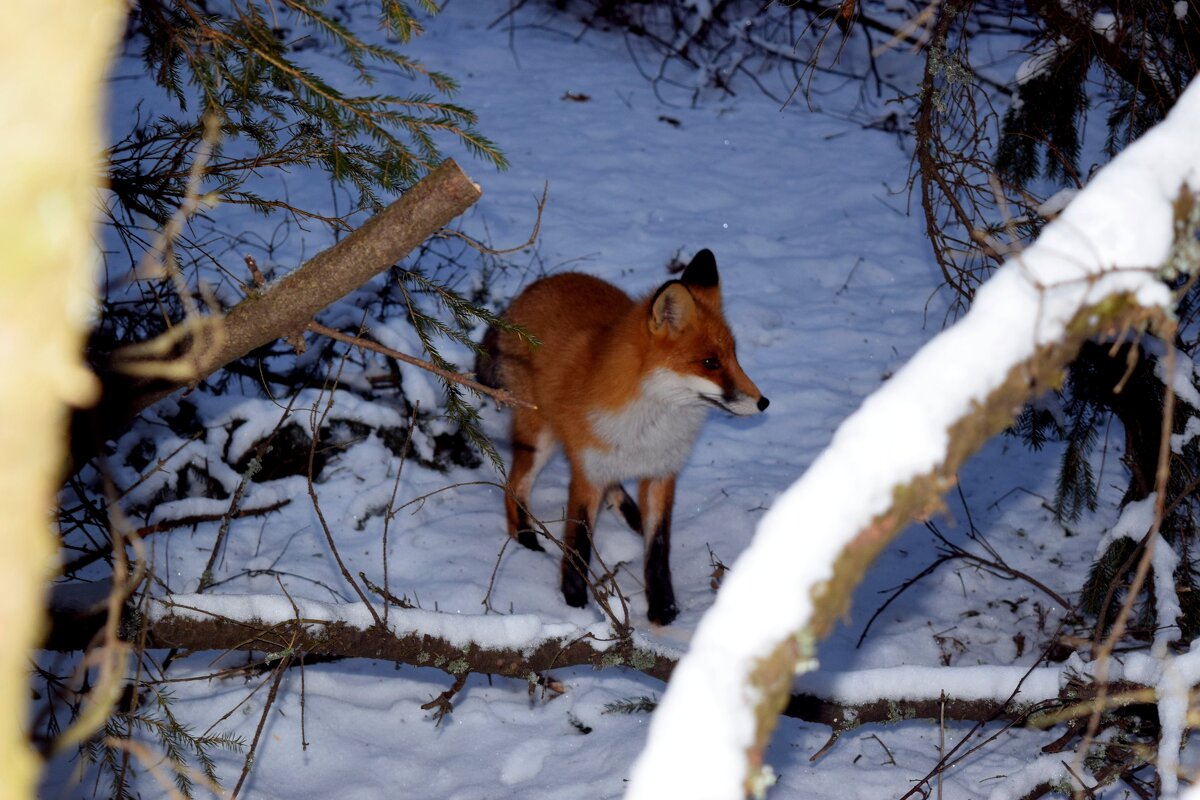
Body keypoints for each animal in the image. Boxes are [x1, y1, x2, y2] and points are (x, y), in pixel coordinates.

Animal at [472, 250, 763, 623]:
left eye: (733, 356)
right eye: (710, 362)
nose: (763, 402)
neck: (650, 424)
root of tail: (532, 289)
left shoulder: (661, 473)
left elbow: (658, 547)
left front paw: (663, 607)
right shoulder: (588, 472)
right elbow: (579, 540)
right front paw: (574, 601)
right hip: (539, 437)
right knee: (514, 484)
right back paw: (525, 538)